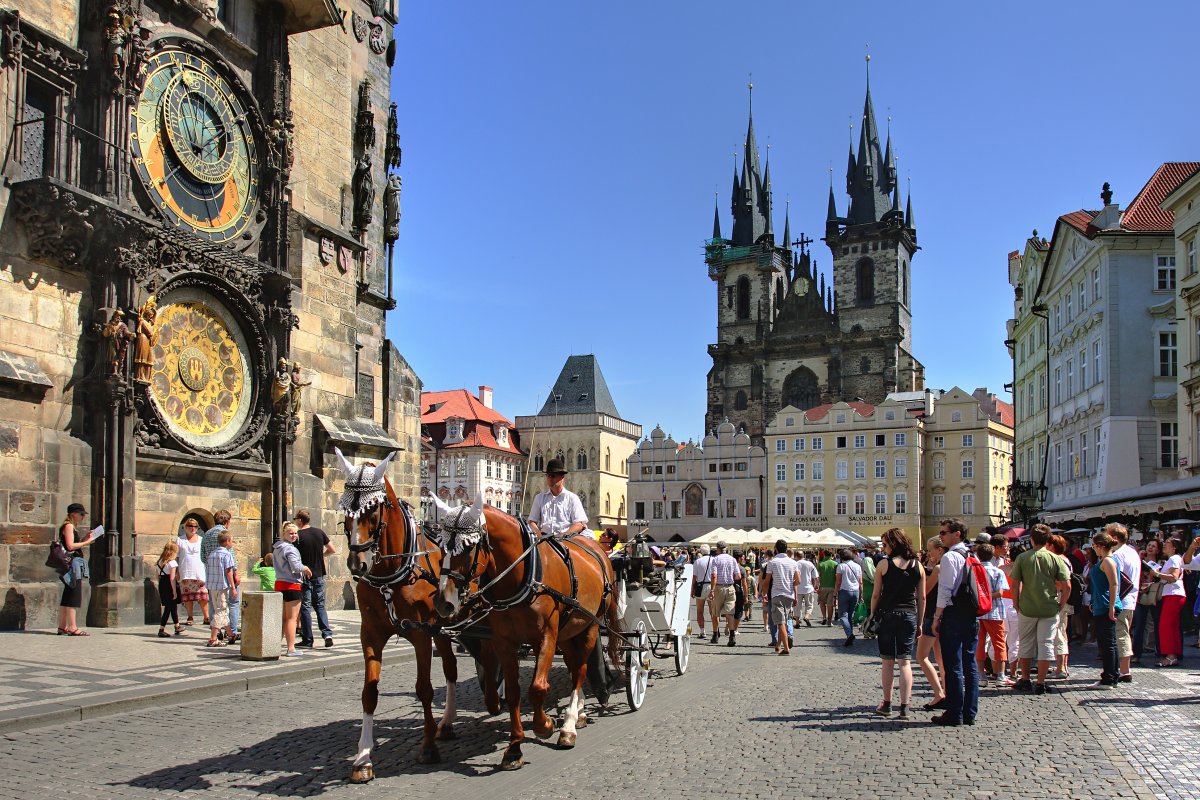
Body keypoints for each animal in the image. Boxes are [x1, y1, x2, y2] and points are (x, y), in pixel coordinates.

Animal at [333, 450, 496, 782]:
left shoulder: (421, 633)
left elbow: (424, 689)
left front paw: (427, 747)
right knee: (451, 668)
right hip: (446, 627)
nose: (357, 565)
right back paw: (448, 722)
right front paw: (363, 758)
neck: (392, 573)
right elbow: (369, 693)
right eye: (346, 511)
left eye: (372, 511)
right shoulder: (370, 634)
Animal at [429, 494, 619, 767]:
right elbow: (513, 691)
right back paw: (579, 714)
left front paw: (545, 725)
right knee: (574, 668)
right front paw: (514, 747)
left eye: (468, 546)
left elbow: (538, 687)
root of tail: (598, 551)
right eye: (441, 546)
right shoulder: (504, 641)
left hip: (590, 625)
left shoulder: (546, 636)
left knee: (581, 669)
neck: (521, 576)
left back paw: (569, 726)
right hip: (568, 631)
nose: (443, 603)